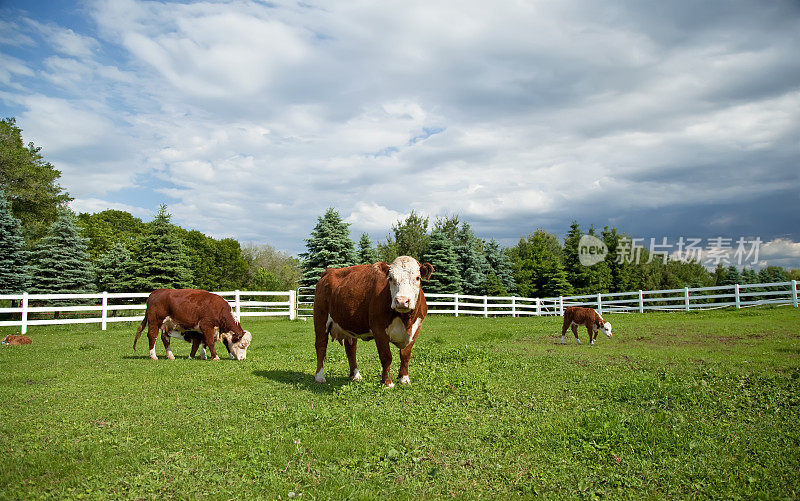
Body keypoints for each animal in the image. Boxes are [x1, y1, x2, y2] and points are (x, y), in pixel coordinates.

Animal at [312, 256, 434, 384]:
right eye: (390, 278)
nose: (401, 301)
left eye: (417, 277)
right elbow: (386, 356)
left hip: (350, 324)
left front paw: (404, 380)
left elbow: (405, 355)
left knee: (351, 348)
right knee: (321, 345)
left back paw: (355, 375)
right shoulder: (379, 329)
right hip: (320, 319)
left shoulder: (416, 329)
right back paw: (320, 376)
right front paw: (387, 382)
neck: (406, 320)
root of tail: (329, 271)